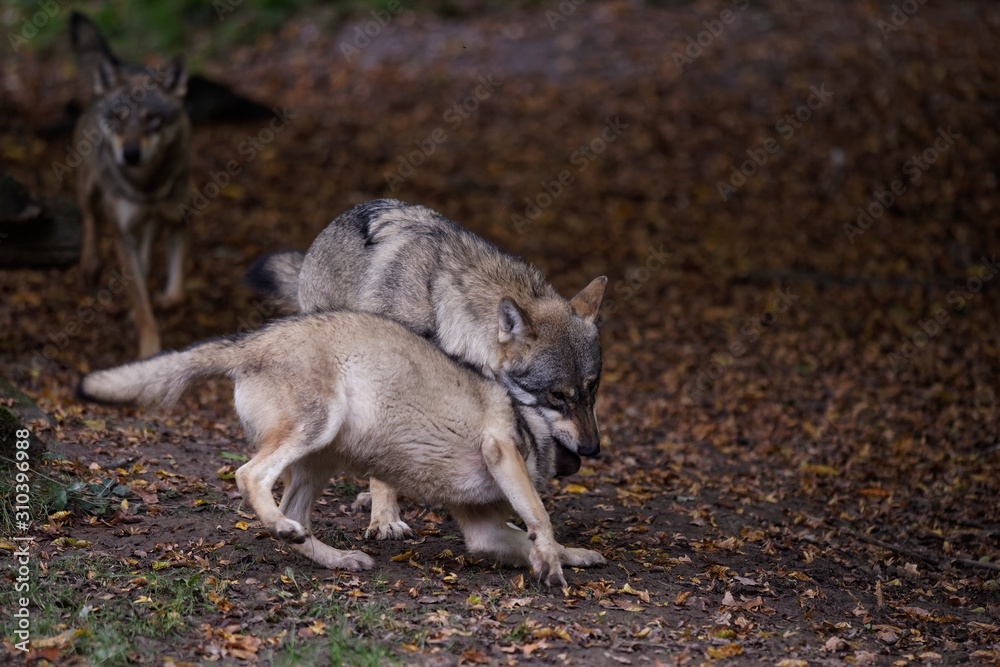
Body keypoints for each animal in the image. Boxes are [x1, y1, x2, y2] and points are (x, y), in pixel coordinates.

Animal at [70, 12, 191, 358]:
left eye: (153, 119)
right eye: (119, 117)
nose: (131, 154)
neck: (146, 187)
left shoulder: (177, 220)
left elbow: (176, 292)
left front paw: (163, 300)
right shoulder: (123, 235)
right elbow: (141, 306)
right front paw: (150, 350)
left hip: (149, 224)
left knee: (147, 252)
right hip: (89, 188)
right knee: (89, 218)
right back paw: (90, 264)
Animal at [78, 311, 606, 586]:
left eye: (591, 395)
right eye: (564, 398)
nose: (592, 451)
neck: (527, 421)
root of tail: (251, 339)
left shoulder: (482, 532)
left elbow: (532, 534)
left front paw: (573, 555)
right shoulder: (501, 450)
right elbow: (540, 517)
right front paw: (552, 561)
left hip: (322, 459)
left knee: (295, 518)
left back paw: (329, 554)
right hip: (316, 431)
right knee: (249, 476)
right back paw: (285, 527)